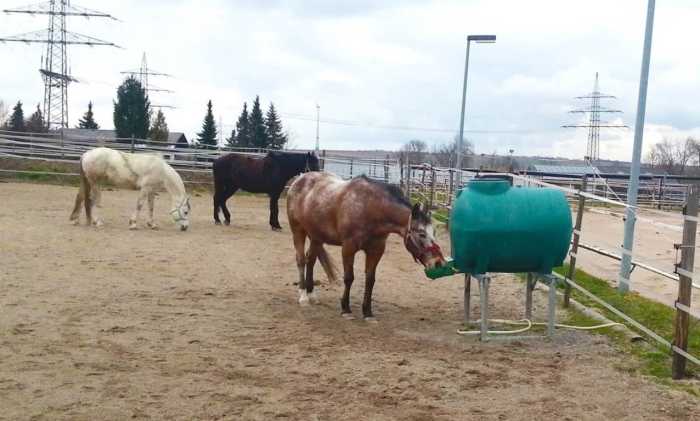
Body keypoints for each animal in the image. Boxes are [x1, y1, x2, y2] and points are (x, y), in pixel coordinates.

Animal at [288, 171, 446, 318]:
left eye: (434, 232)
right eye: (421, 233)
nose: (438, 262)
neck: (369, 208)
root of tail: (298, 180)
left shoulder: (376, 250)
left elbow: (370, 280)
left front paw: (367, 312)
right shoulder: (348, 248)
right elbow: (349, 278)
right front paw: (346, 309)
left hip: (316, 237)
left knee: (311, 260)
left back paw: (311, 295)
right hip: (298, 230)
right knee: (301, 260)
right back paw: (303, 297)